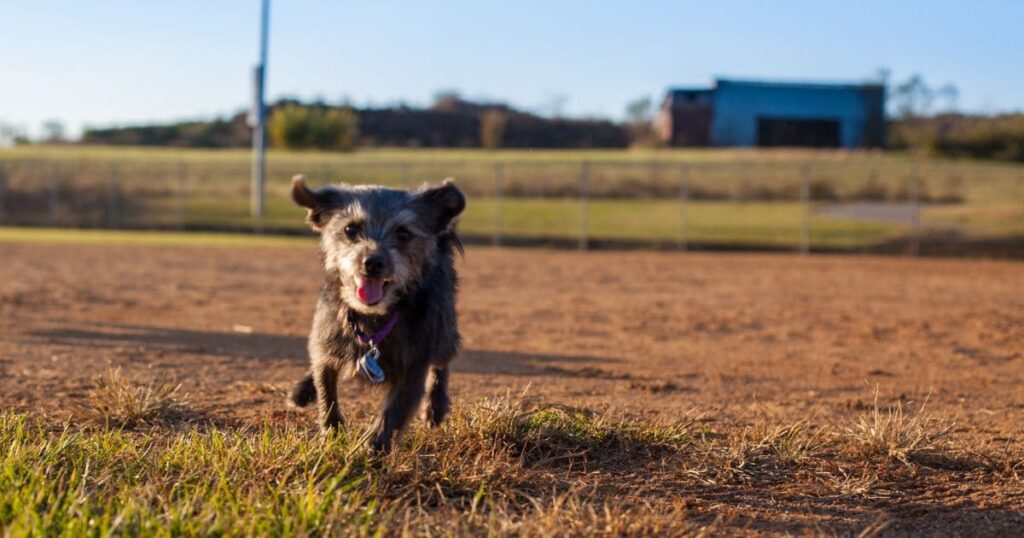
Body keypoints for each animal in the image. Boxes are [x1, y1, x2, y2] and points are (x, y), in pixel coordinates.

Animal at [286, 174, 466, 450]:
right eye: (350, 230)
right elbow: (327, 390)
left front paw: (374, 449)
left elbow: (394, 413)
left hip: (443, 326)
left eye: (403, 233)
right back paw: (304, 389)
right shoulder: (327, 337)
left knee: (442, 362)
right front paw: (333, 436)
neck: (372, 319)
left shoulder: (414, 365)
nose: (373, 262)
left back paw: (436, 405)